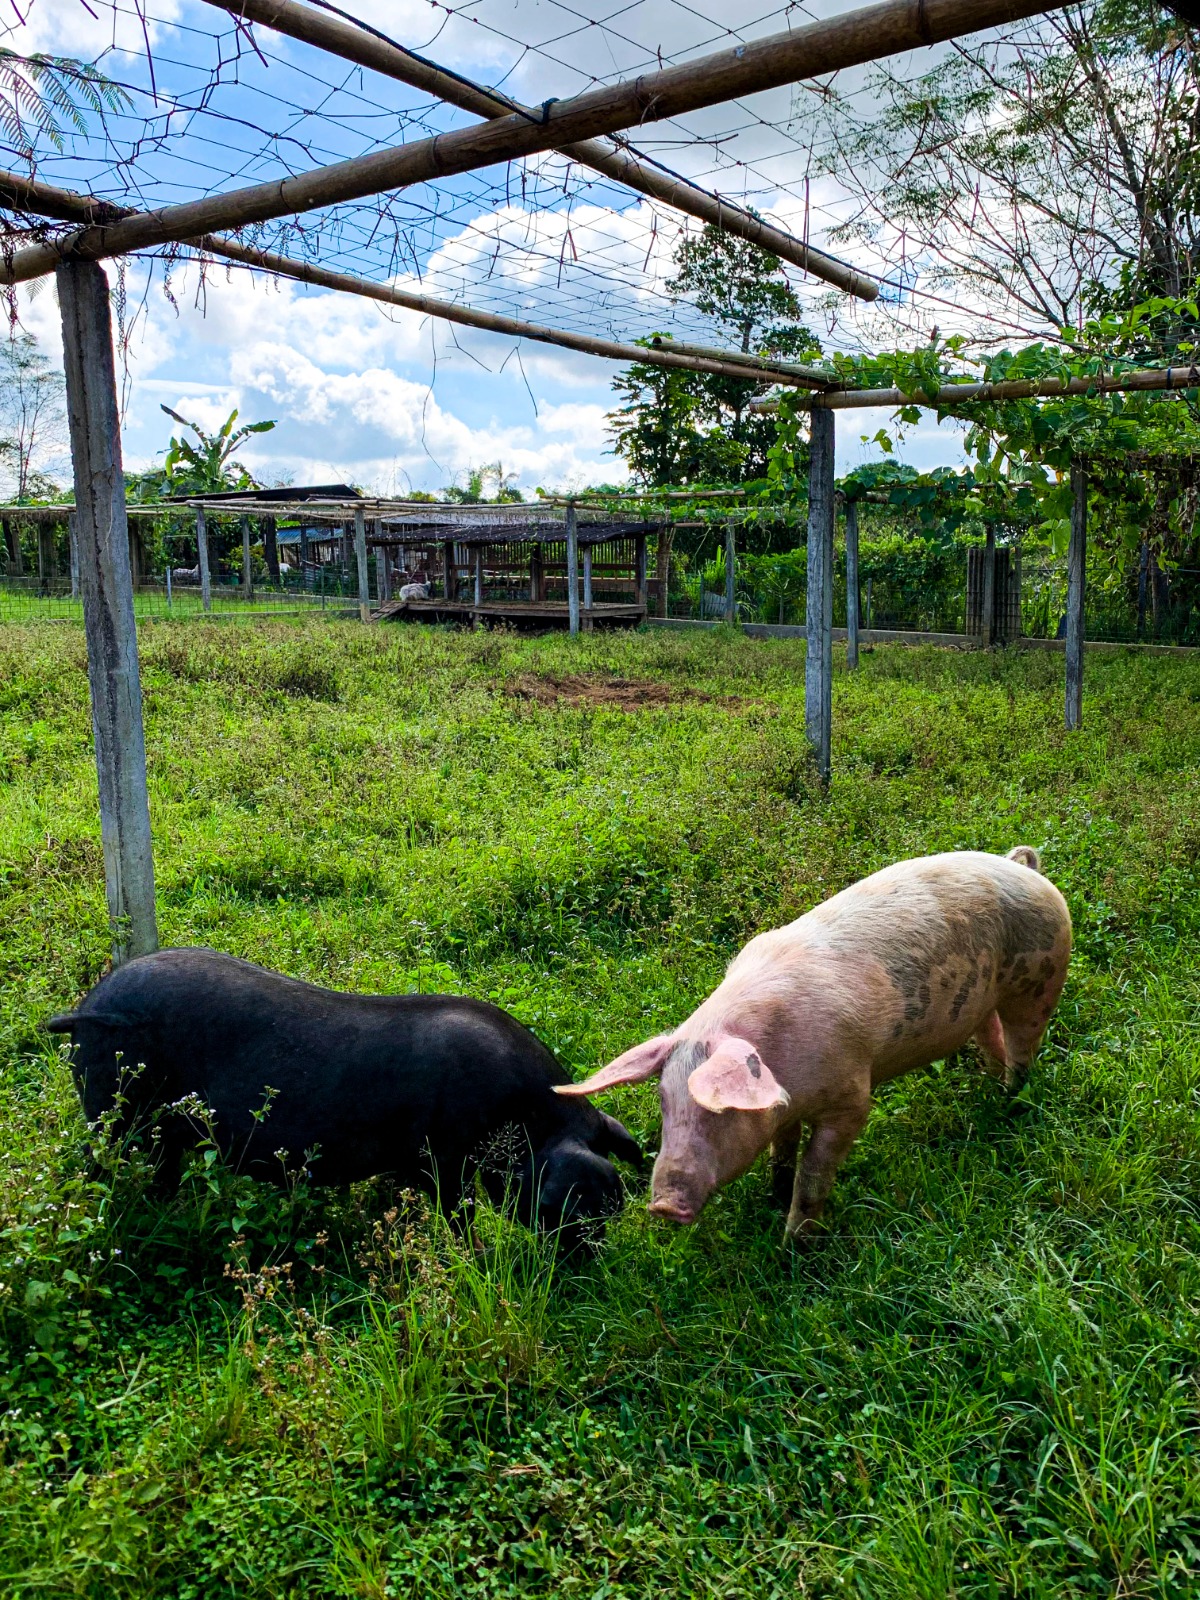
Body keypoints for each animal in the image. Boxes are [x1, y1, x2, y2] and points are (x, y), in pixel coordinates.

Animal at [48, 948, 641, 1244]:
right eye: (559, 1213)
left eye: (614, 1210)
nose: (584, 1274)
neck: (521, 1119)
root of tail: (90, 1005)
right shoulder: (445, 1161)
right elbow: (458, 1216)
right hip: (114, 1112)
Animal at [557, 848, 1071, 1244]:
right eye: (664, 1101)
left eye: (720, 1110)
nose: (662, 1205)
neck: (789, 1080)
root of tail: (1025, 868)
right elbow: (782, 1151)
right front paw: (773, 1194)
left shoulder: (851, 1097)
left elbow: (814, 1175)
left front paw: (793, 1246)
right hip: (986, 1003)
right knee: (991, 1037)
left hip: (1041, 982)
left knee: (1024, 1047)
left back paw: (1011, 1101)